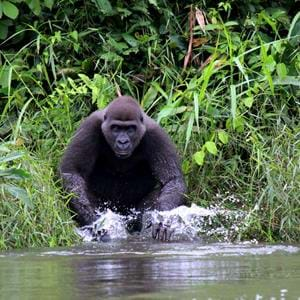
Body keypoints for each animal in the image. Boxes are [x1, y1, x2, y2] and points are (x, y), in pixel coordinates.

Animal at [59, 95, 186, 239]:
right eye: (116, 128)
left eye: (130, 129)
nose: (123, 142)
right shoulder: (89, 127)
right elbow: (72, 172)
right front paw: (95, 221)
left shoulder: (157, 134)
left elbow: (172, 180)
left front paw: (160, 219)